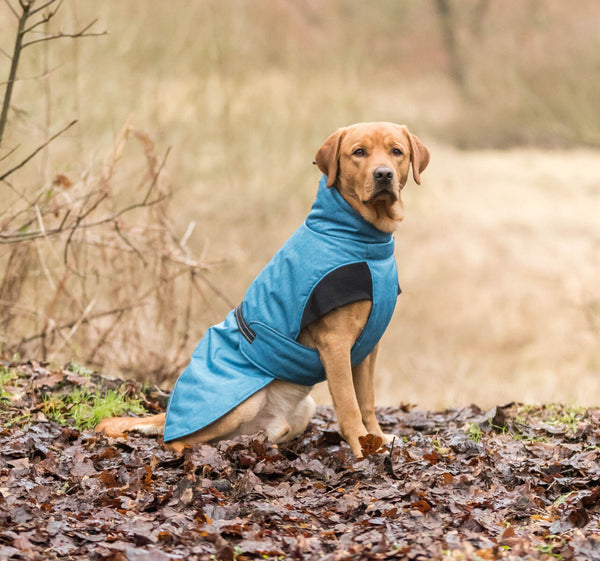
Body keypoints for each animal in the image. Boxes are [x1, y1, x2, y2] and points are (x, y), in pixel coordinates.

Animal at [96, 121, 428, 456]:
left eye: (396, 151)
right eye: (359, 152)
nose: (383, 174)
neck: (363, 241)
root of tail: (168, 413)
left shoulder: (368, 348)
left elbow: (367, 401)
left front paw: (378, 438)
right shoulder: (335, 344)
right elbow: (349, 406)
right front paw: (362, 448)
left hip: (303, 408)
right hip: (243, 402)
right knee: (174, 440)